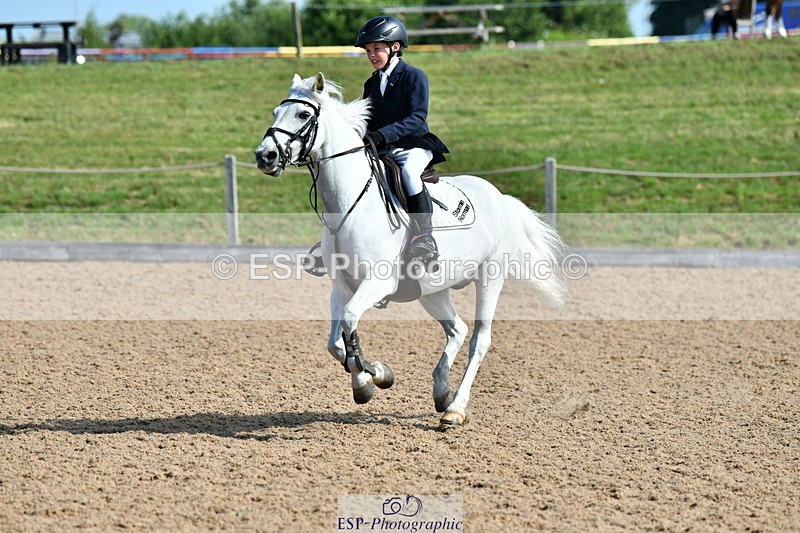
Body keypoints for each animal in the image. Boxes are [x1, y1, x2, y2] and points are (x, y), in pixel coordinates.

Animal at [254, 73, 567, 427]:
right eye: (275, 112)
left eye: (303, 115)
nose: (264, 156)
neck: (350, 204)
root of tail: (501, 197)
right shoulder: (342, 286)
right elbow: (336, 342)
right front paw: (375, 376)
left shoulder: (377, 283)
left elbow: (349, 322)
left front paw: (367, 378)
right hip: (431, 290)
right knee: (456, 329)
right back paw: (441, 391)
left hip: (490, 278)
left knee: (478, 340)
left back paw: (456, 409)